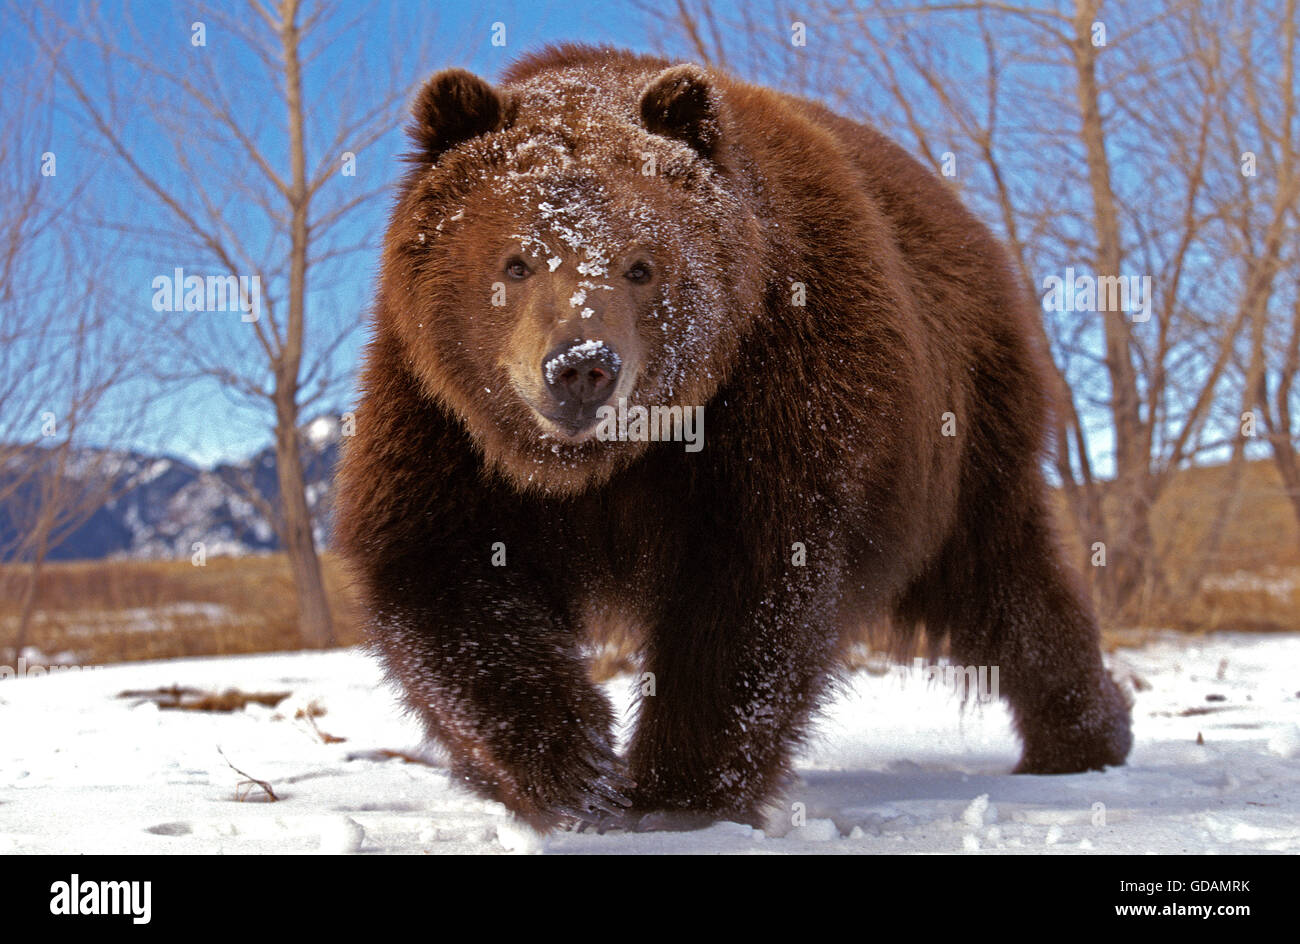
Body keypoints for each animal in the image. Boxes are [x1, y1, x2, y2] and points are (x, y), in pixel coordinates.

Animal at [333, 43, 1132, 833]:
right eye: (517, 261)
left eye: (640, 264)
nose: (582, 367)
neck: (603, 465)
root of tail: (973, 229)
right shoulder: (444, 422)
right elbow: (439, 571)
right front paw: (573, 766)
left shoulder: (773, 386)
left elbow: (749, 595)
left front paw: (677, 790)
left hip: (965, 428)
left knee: (1004, 580)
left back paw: (1084, 736)